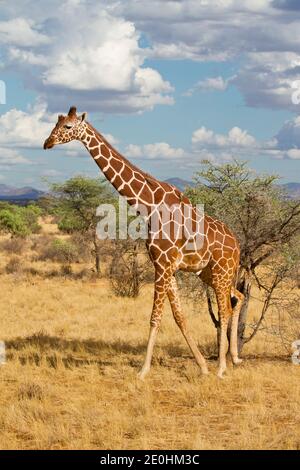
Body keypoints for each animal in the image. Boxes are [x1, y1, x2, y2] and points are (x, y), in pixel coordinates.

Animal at [43, 106, 244, 378]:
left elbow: (155, 317)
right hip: (209, 273)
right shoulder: (166, 266)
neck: (148, 205)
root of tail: (238, 245)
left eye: (67, 126)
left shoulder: (163, 264)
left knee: (225, 310)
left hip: (222, 271)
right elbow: (179, 316)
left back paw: (222, 366)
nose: (47, 142)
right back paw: (234, 358)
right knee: (237, 299)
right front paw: (202, 366)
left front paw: (143, 370)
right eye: (57, 122)